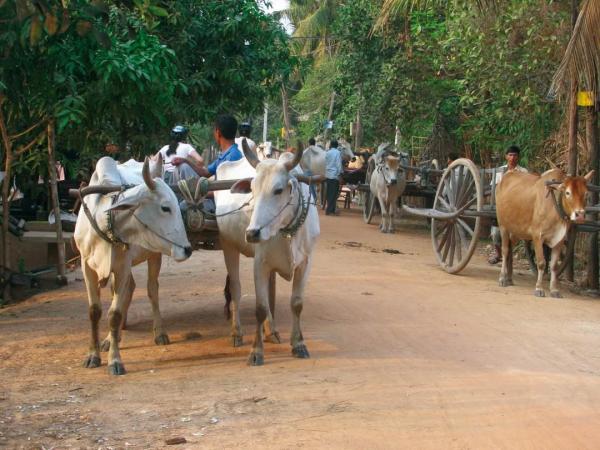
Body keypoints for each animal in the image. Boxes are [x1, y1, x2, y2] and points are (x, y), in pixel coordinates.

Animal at [494, 167, 592, 298]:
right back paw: (502, 278)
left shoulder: (559, 240)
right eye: (567, 193)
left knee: (510, 250)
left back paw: (509, 278)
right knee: (505, 251)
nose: (580, 215)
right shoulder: (537, 236)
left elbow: (554, 266)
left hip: (516, 231)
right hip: (503, 226)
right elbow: (541, 263)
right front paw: (539, 288)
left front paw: (554, 290)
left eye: (586, 193)